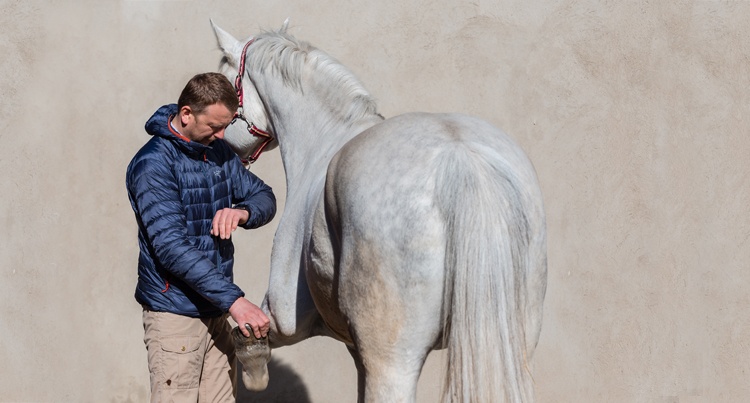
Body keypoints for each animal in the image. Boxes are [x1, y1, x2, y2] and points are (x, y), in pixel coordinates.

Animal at [210, 21, 548, 403]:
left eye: (224, 83)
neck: (323, 140)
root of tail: (461, 157)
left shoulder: (286, 318)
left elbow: (252, 332)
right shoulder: (356, 350)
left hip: (393, 361)